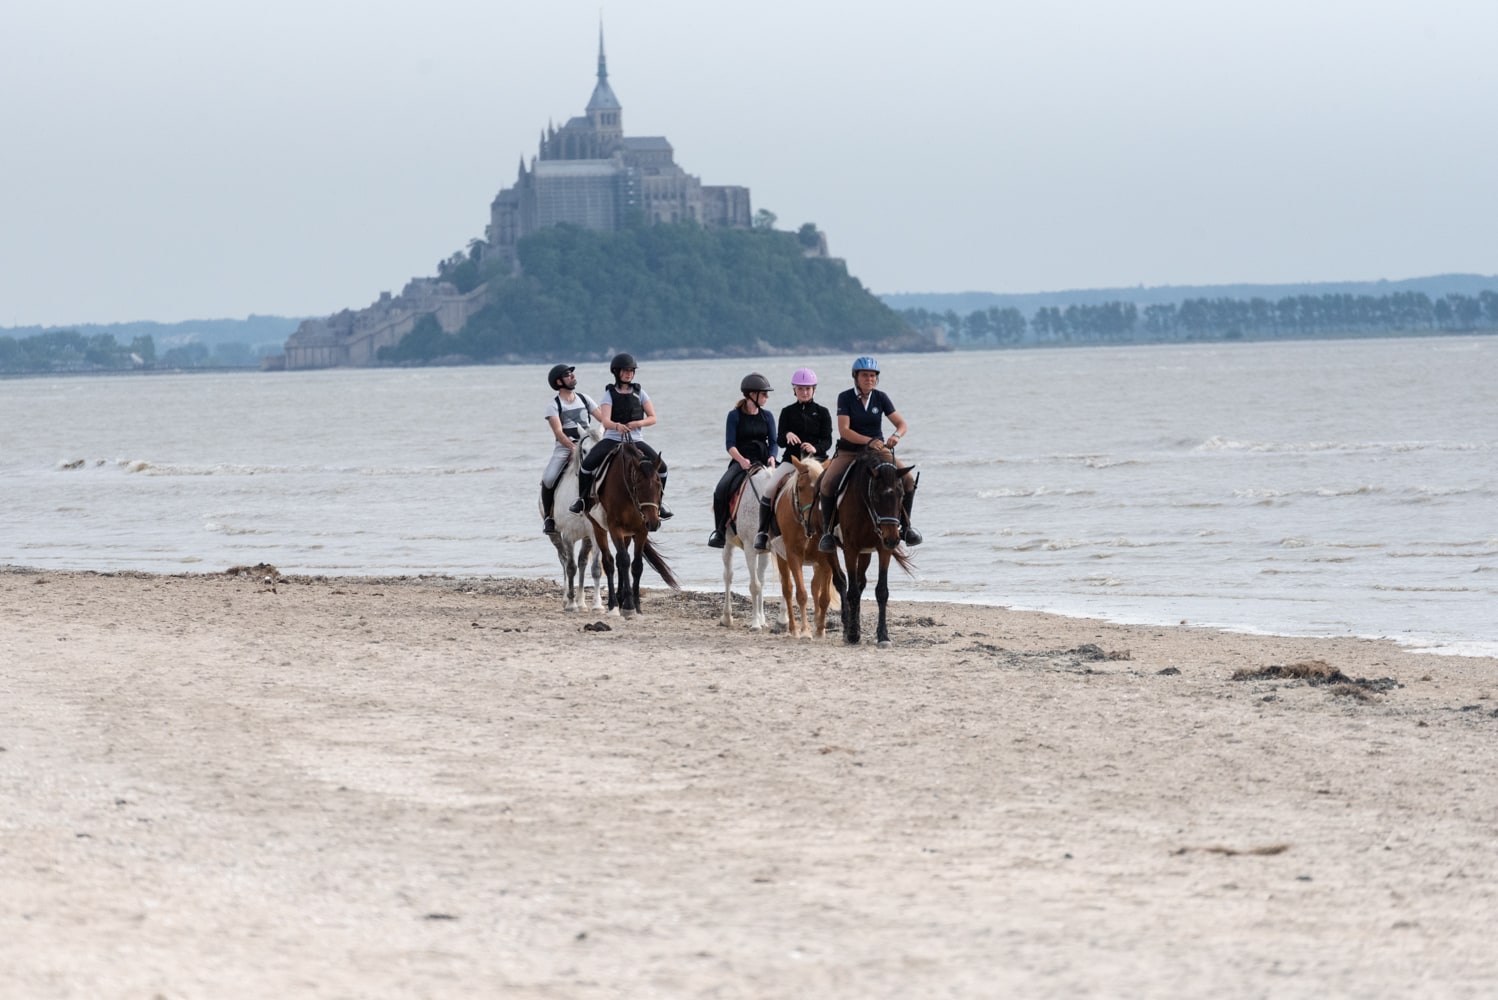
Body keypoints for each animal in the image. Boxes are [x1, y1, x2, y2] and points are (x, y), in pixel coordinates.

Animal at [548, 419, 605, 610]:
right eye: (585, 450)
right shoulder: (567, 536)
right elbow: (570, 567)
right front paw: (571, 605)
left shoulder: (595, 534)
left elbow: (595, 568)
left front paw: (597, 605)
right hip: (555, 535)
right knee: (564, 561)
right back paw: (568, 600)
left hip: (586, 537)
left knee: (582, 562)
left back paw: (581, 602)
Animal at [584, 437, 680, 616]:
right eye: (638, 486)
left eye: (659, 485)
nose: (653, 523)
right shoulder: (615, 528)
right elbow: (623, 561)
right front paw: (629, 605)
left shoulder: (641, 530)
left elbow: (636, 565)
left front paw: (636, 605)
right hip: (599, 528)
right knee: (609, 562)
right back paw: (614, 603)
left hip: (628, 534)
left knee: (621, 561)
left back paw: (620, 598)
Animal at [719, 464, 790, 631]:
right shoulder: (749, 550)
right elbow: (754, 586)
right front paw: (755, 623)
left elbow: (782, 582)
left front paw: (782, 620)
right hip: (728, 543)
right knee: (728, 576)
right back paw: (727, 617)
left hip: (764, 552)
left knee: (760, 577)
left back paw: (762, 618)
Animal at [772, 455, 844, 637]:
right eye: (800, 488)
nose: (810, 523)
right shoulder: (793, 556)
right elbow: (801, 594)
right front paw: (805, 630)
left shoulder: (825, 559)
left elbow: (823, 597)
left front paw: (820, 630)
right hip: (782, 558)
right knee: (788, 590)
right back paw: (793, 628)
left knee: (814, 587)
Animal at [832, 443, 910, 649]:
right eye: (875, 495)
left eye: (902, 494)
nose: (893, 538)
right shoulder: (850, 549)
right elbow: (851, 591)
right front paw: (852, 634)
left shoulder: (883, 549)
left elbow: (881, 591)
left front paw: (883, 635)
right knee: (841, 581)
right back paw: (848, 628)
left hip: (866, 552)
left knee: (860, 583)